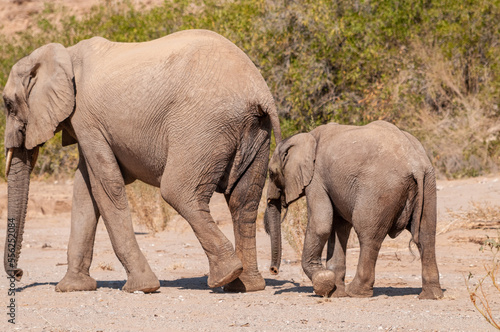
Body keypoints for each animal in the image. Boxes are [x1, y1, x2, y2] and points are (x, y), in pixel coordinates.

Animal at [2, 29, 282, 294]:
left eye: (7, 104)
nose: (19, 274)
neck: (65, 54)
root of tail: (260, 93)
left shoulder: (86, 118)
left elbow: (106, 186)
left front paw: (143, 287)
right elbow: (84, 190)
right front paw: (72, 288)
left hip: (203, 125)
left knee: (178, 192)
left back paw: (226, 275)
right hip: (254, 132)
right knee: (243, 201)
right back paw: (245, 285)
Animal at [264, 120, 444, 300]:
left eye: (271, 173)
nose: (273, 270)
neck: (306, 137)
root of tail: (416, 164)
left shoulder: (317, 178)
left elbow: (322, 225)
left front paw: (323, 281)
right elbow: (339, 227)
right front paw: (335, 292)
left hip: (379, 190)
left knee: (368, 235)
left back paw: (356, 292)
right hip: (428, 183)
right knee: (426, 235)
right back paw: (431, 295)